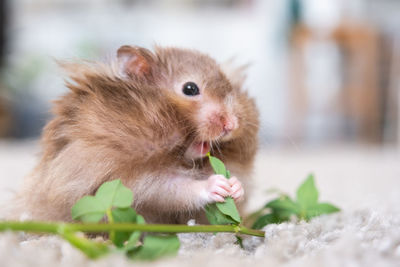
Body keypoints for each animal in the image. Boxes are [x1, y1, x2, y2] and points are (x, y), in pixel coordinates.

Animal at [11, 45, 260, 224]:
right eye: (190, 89)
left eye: (230, 86)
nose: (232, 124)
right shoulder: (127, 177)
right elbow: (173, 188)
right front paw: (217, 185)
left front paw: (235, 187)